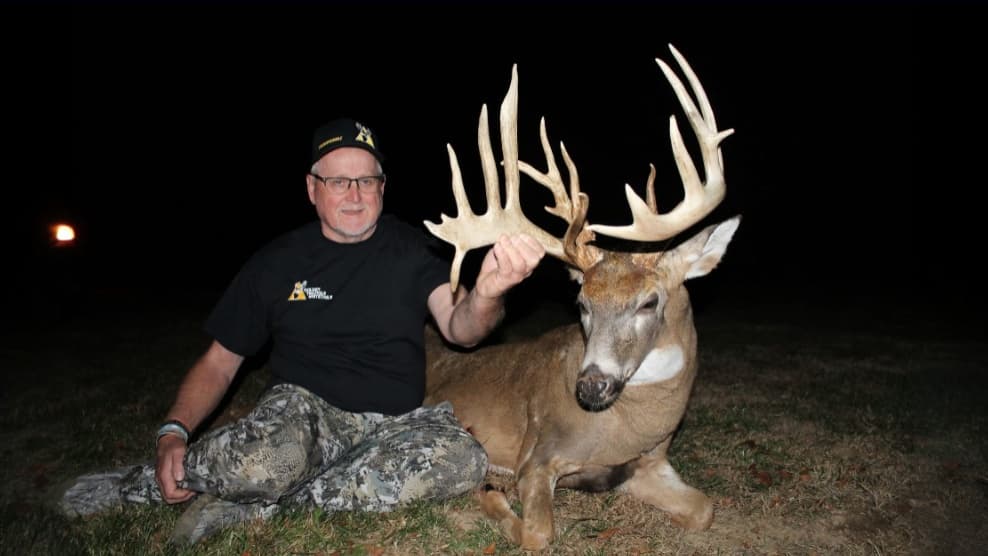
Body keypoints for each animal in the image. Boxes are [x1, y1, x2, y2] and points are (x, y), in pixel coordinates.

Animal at [423, 44, 740, 551]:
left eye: (649, 302)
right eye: (582, 303)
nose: (591, 385)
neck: (624, 426)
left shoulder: (649, 464)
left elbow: (704, 510)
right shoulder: (539, 453)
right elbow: (539, 532)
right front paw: (491, 495)